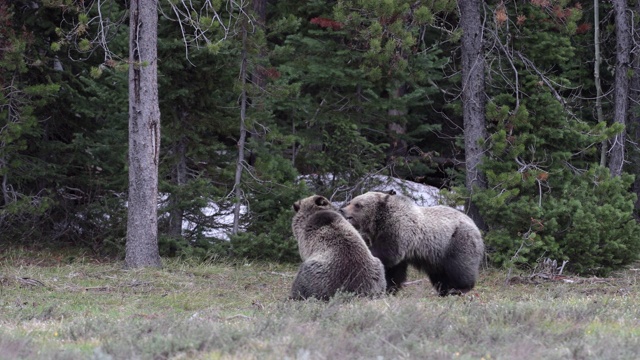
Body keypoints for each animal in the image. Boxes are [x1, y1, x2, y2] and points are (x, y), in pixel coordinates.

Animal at [340, 191, 484, 296]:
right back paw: (444, 290)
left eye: (358, 205)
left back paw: (459, 289)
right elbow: (394, 270)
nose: (342, 210)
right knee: (439, 274)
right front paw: (389, 288)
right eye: (350, 201)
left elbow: (387, 254)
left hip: (456, 240)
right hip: (437, 256)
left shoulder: (398, 232)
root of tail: (474, 224)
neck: (379, 223)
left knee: (460, 267)